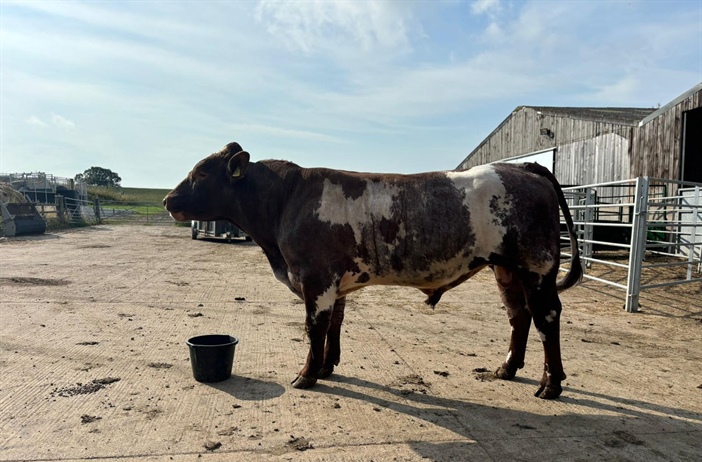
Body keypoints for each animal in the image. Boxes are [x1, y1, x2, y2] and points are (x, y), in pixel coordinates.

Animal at [164, 142, 582, 399]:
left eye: (202, 173)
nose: (168, 200)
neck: (285, 201)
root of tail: (523, 166)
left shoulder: (316, 279)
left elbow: (314, 327)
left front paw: (306, 375)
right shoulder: (333, 284)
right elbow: (333, 324)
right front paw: (327, 366)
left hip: (536, 267)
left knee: (547, 317)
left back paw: (550, 385)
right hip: (506, 269)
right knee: (518, 315)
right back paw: (507, 369)